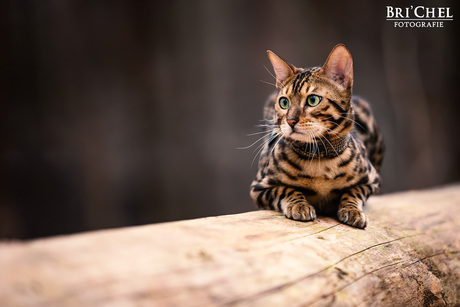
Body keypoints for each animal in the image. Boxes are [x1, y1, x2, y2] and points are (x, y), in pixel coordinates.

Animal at [250, 44, 382, 230]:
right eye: (284, 102)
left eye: (313, 100)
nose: (290, 121)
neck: (320, 157)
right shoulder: (259, 186)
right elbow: (285, 189)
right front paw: (299, 205)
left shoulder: (372, 180)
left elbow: (355, 191)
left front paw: (352, 210)